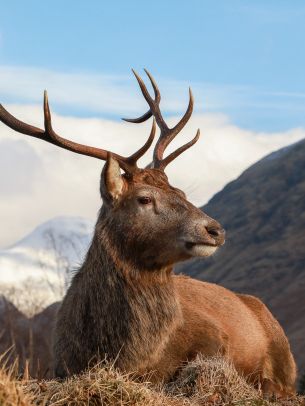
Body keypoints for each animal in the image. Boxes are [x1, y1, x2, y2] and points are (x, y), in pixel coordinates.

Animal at [0, 70, 294, 396]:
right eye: (144, 199)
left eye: (181, 192)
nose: (215, 229)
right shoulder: (63, 364)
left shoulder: (215, 336)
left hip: (283, 347)